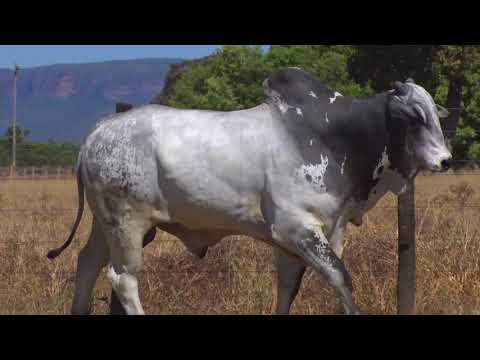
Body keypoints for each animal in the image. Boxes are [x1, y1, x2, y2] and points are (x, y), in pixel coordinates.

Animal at [47, 68, 452, 316]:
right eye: (416, 117)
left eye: (436, 114)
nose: (446, 160)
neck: (336, 138)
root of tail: (99, 130)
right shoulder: (296, 228)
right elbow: (341, 278)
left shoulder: (317, 235)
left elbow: (288, 289)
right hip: (127, 224)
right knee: (122, 278)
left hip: (105, 224)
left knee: (86, 265)